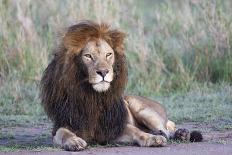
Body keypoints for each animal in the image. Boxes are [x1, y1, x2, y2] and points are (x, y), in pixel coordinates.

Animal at [40, 20, 202, 151]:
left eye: (108, 55)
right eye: (88, 56)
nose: (103, 72)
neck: (93, 97)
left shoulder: (114, 126)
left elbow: (136, 131)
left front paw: (152, 139)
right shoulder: (65, 124)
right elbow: (63, 134)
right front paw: (74, 141)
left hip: (140, 107)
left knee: (168, 126)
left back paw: (178, 134)